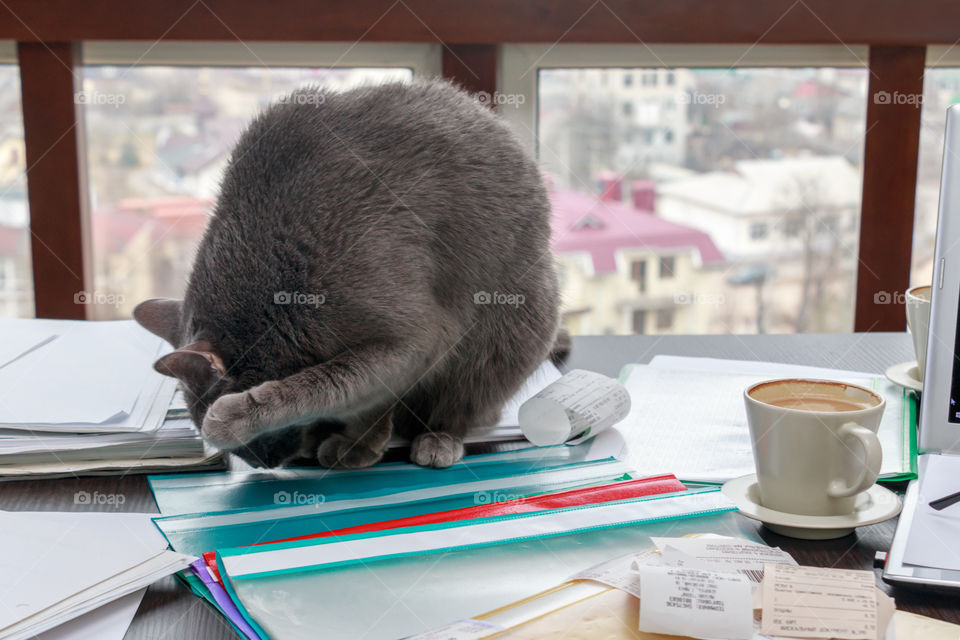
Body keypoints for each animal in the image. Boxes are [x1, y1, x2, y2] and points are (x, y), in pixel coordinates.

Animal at [137, 79, 568, 470]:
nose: (262, 464)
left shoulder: (417, 340)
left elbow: (319, 385)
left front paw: (239, 415)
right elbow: (358, 397)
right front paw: (359, 442)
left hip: (501, 334)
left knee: (463, 404)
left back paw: (437, 440)